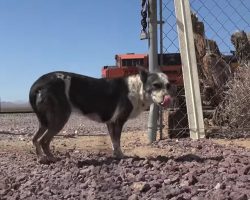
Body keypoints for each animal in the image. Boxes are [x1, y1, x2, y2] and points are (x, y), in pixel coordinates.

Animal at [29, 69, 173, 163]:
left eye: (168, 85)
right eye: (156, 85)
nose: (168, 98)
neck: (138, 88)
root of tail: (39, 82)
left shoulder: (110, 123)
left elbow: (114, 141)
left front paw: (116, 154)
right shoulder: (118, 121)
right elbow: (117, 141)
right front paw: (120, 155)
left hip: (46, 122)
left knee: (35, 138)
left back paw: (41, 158)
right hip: (60, 118)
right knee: (43, 141)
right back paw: (51, 158)